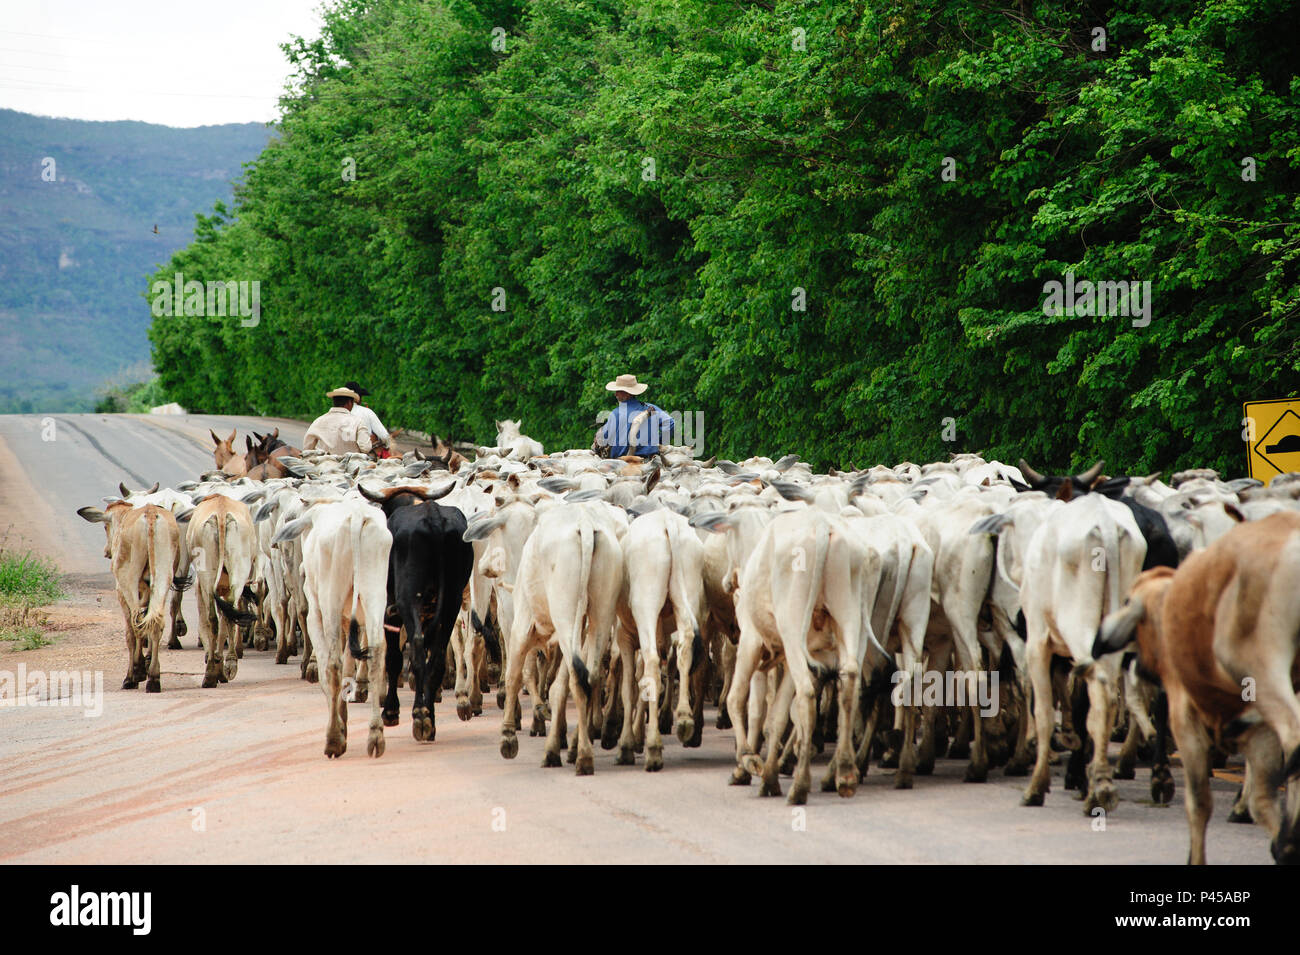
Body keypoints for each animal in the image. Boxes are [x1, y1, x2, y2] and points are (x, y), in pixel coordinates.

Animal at [1097, 514, 1300, 867]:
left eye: (1127, 602)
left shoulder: (1187, 718)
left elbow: (1199, 802)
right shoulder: (1257, 733)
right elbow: (1261, 801)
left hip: (1258, 662)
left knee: (1294, 734)